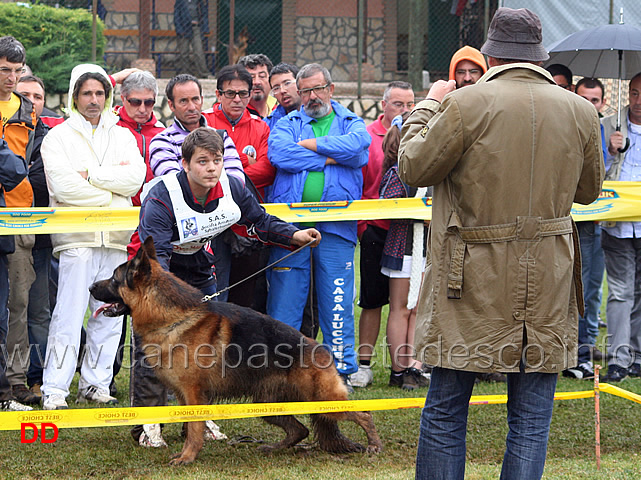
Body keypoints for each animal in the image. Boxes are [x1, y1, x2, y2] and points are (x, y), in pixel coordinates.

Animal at [90, 236, 380, 464]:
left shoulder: (194, 394)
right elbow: (191, 427)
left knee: (363, 413)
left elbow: (194, 430)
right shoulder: (185, 396)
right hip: (267, 405)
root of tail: (320, 349)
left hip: (322, 401)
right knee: (300, 431)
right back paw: (273, 447)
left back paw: (374, 445)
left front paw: (187, 457)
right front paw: (187, 453)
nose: (91, 287)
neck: (172, 317)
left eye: (113, 279)